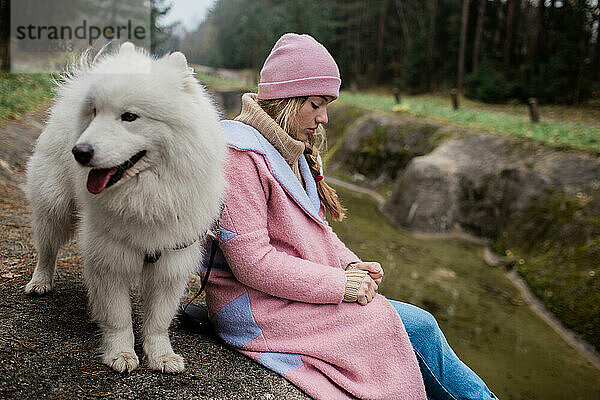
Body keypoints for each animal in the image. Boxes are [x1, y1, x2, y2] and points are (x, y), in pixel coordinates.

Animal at [23, 42, 225, 374]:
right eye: (94, 112)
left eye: (129, 116)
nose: (79, 151)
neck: (146, 196)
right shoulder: (110, 257)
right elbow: (118, 317)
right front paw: (121, 353)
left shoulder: (172, 260)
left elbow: (158, 321)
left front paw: (161, 356)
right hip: (54, 207)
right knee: (47, 248)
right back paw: (40, 282)